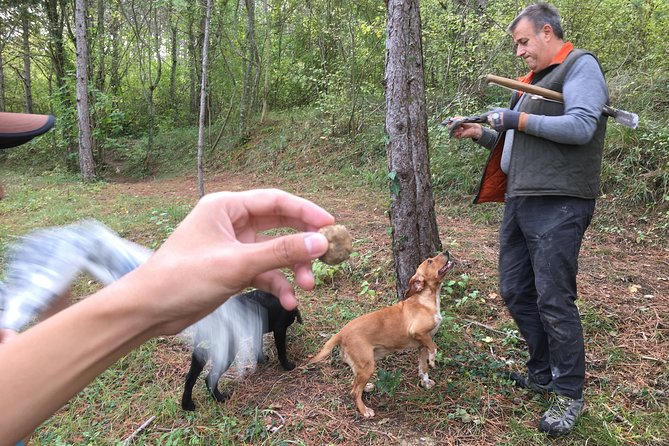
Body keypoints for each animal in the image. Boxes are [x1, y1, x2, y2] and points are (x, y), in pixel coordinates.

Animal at [308, 251, 454, 418]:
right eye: (430, 261)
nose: (446, 252)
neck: (426, 299)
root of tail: (341, 332)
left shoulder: (422, 346)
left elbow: (423, 369)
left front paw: (426, 382)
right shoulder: (419, 333)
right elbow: (434, 348)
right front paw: (433, 360)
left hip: (362, 364)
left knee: (354, 383)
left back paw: (366, 387)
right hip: (368, 365)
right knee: (354, 391)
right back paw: (364, 410)